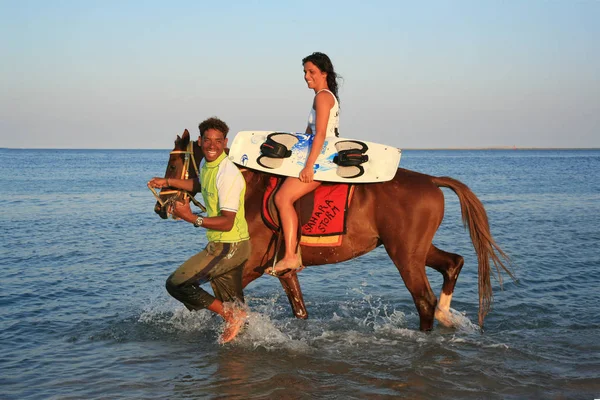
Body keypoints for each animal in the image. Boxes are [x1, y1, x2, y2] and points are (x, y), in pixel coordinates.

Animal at [152, 130, 512, 330]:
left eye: (173, 163)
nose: (160, 206)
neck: (247, 190)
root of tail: (431, 181)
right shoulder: (283, 271)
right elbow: (299, 311)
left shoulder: (251, 265)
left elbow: (223, 301)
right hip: (415, 250)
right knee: (453, 263)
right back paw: (446, 315)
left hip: (405, 255)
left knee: (423, 300)